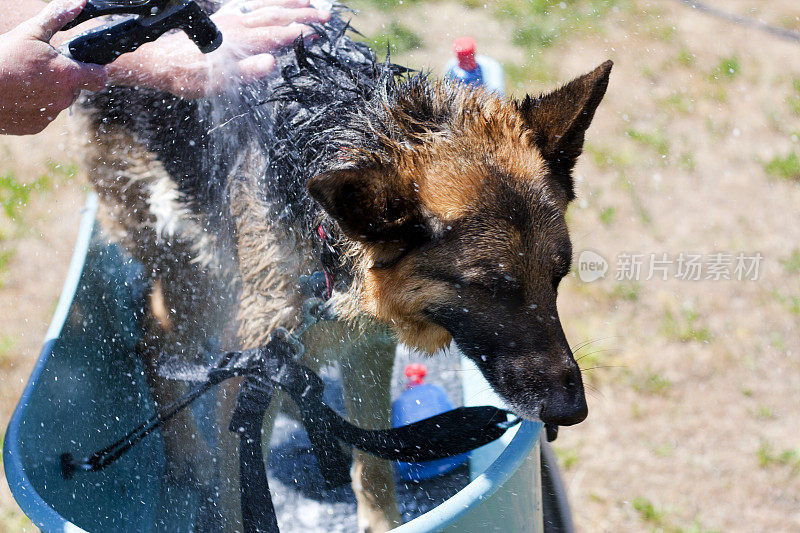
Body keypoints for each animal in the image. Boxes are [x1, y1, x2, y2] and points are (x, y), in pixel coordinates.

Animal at [78, 3, 608, 528]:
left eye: (557, 278)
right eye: (490, 288)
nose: (573, 411)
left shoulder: (367, 349)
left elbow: (373, 466)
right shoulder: (249, 374)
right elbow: (238, 500)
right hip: (198, 271)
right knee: (153, 331)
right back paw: (189, 455)